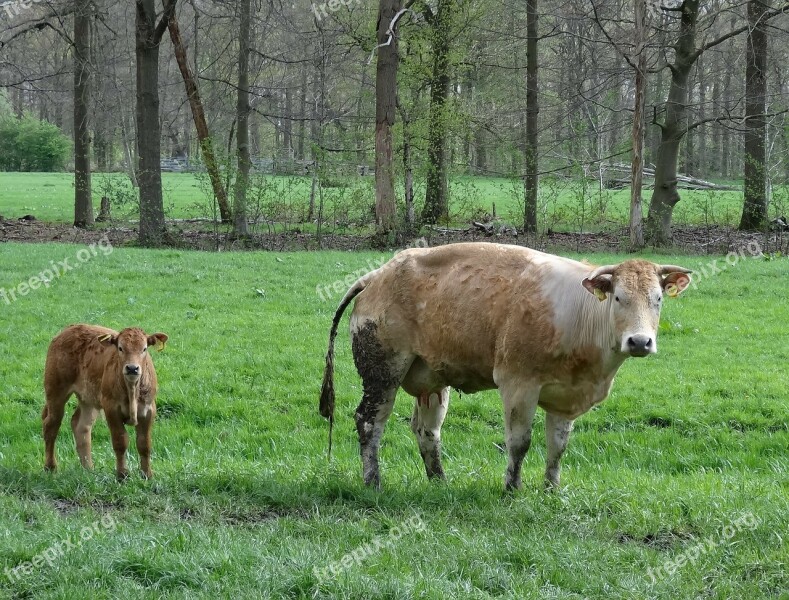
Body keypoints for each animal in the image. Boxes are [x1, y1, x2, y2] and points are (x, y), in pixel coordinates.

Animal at [42, 326, 168, 480]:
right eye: (120, 348)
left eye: (144, 349)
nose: (132, 368)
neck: (132, 389)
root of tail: (70, 328)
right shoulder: (111, 409)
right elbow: (120, 442)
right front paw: (122, 475)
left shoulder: (148, 410)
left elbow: (144, 444)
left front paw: (147, 475)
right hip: (55, 391)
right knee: (51, 425)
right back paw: (50, 466)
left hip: (89, 398)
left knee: (81, 426)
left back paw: (88, 469)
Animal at [320, 241, 688, 490]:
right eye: (618, 297)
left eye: (657, 299)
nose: (639, 342)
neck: (580, 317)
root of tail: (377, 274)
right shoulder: (518, 384)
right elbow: (519, 441)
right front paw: (512, 489)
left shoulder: (566, 398)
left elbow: (558, 446)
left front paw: (551, 490)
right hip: (383, 372)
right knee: (370, 422)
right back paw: (373, 482)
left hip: (433, 381)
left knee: (427, 431)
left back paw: (439, 482)